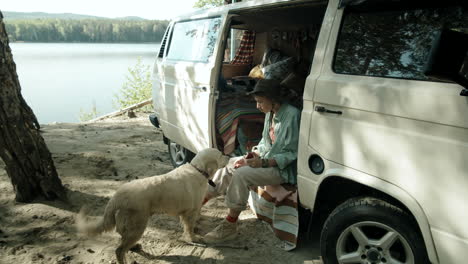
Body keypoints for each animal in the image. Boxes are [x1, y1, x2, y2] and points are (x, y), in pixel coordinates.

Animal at [76, 148, 229, 264]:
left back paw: (135, 246)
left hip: (131, 227)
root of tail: (115, 198)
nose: (229, 155)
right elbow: (189, 228)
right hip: (137, 225)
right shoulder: (191, 211)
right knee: (119, 250)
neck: (198, 170)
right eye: (220, 154)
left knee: (123, 242)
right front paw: (193, 238)